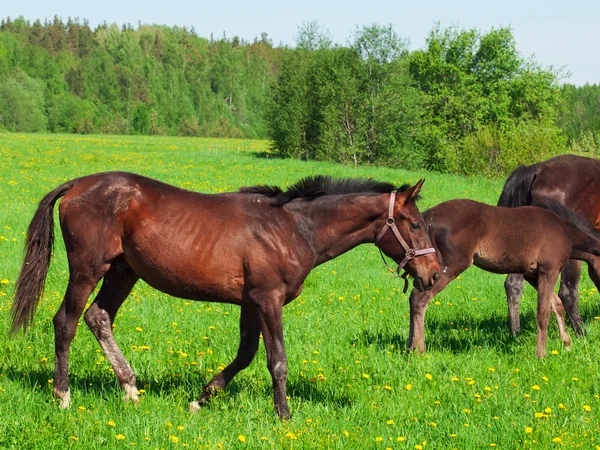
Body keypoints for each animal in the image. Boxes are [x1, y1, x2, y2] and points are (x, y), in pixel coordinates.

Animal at [10, 172, 440, 418]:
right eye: (416, 224)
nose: (433, 274)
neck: (294, 227)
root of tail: (77, 184)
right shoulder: (268, 299)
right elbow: (277, 361)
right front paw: (284, 414)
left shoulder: (250, 302)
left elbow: (246, 354)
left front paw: (202, 398)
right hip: (88, 268)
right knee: (65, 321)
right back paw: (63, 396)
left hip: (122, 271)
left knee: (98, 317)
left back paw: (130, 388)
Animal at [398, 199, 600, 356]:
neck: (564, 231)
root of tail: (426, 218)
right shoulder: (548, 270)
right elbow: (542, 313)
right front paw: (541, 355)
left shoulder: (531, 274)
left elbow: (555, 304)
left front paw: (567, 343)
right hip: (446, 268)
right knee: (419, 299)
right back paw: (418, 350)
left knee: (413, 298)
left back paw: (409, 348)